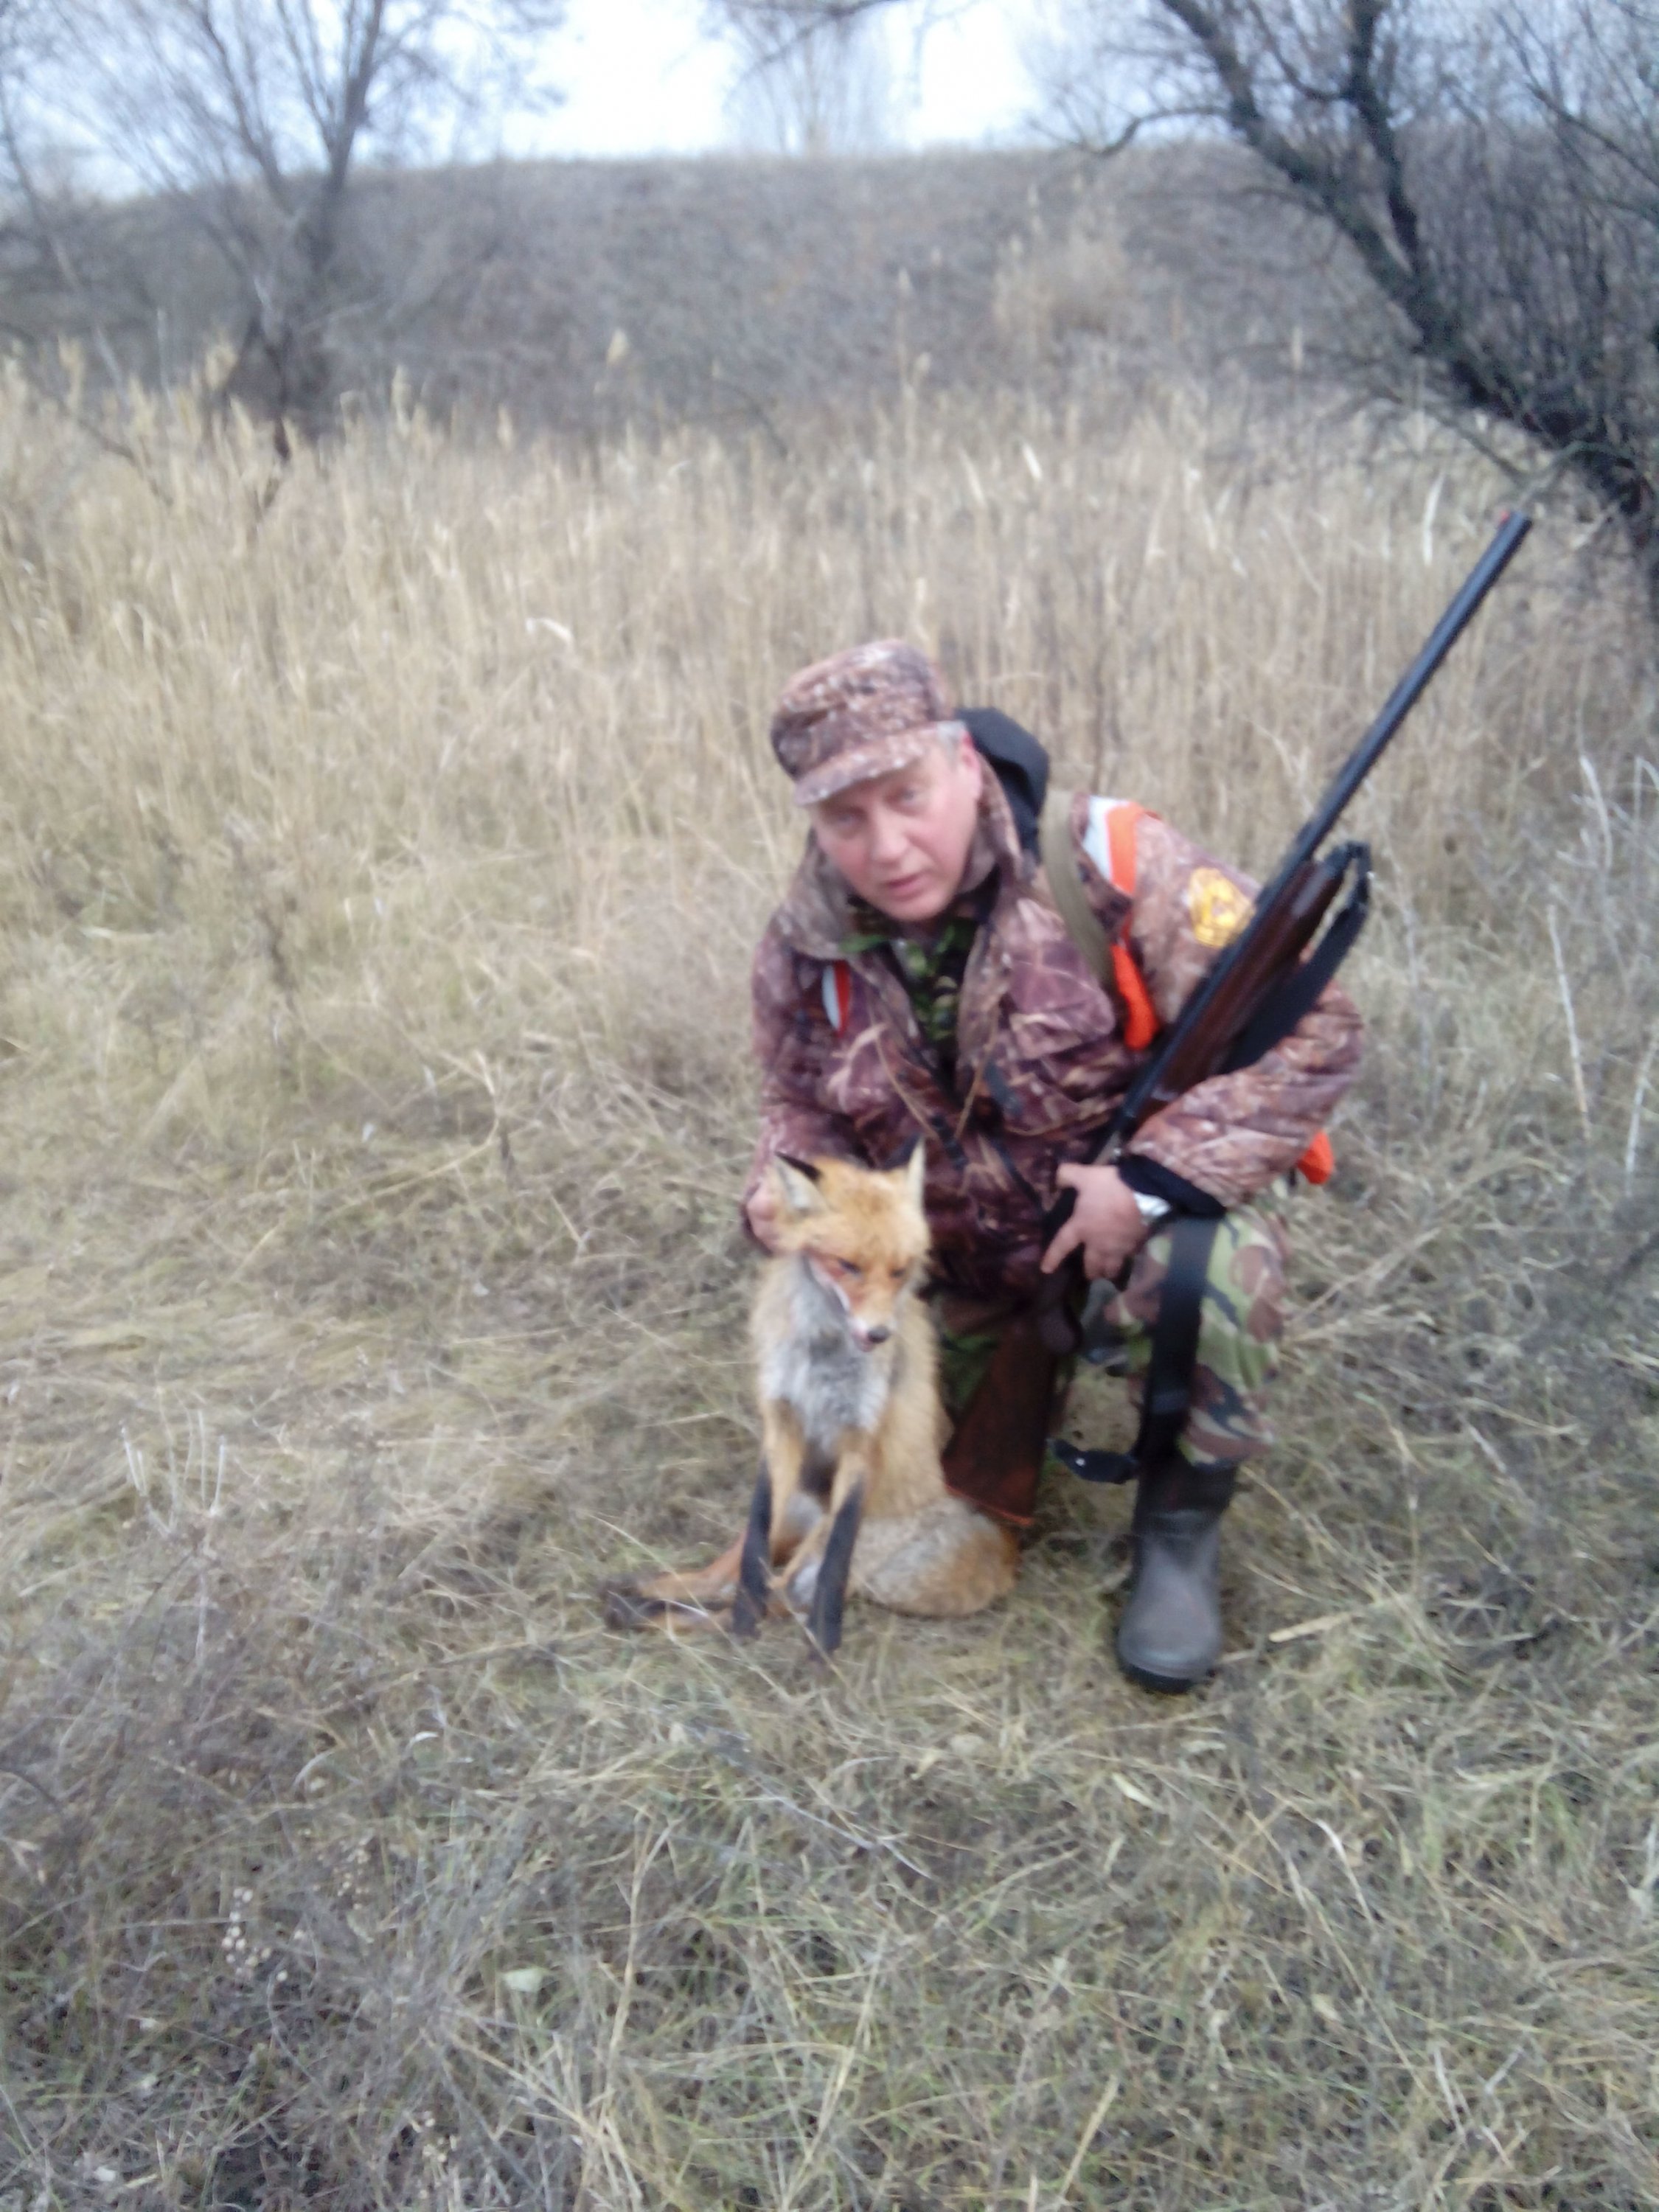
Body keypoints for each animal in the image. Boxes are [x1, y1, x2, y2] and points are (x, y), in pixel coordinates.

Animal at [602, 1143, 1018, 1656]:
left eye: (900, 1271)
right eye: (848, 1265)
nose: (879, 1335)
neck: (824, 1354)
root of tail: (993, 1536)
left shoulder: (863, 1437)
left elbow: (827, 1567)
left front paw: (825, 1635)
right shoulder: (781, 1423)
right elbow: (752, 1550)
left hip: (814, 1544)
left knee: (762, 1600)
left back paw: (650, 1614)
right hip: (793, 1513)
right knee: (724, 1578)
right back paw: (644, 1594)